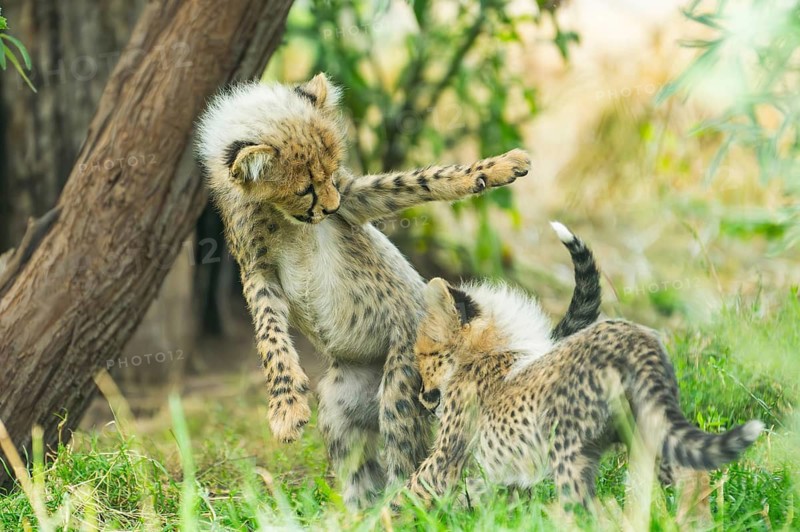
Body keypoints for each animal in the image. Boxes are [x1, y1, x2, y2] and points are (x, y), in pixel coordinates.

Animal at [195, 73, 533, 506]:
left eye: (331, 173)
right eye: (305, 188)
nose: (330, 206)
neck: (282, 215)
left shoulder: (355, 197)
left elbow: (418, 180)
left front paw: (499, 166)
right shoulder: (257, 271)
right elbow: (270, 337)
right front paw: (286, 408)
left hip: (403, 377)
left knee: (406, 450)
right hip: (340, 403)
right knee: (360, 464)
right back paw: (361, 511)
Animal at [399, 276, 764, 513]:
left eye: (425, 356)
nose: (422, 397)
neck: (491, 348)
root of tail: (632, 335)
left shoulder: (449, 453)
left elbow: (411, 490)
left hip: (568, 450)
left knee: (583, 511)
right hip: (649, 427)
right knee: (688, 476)